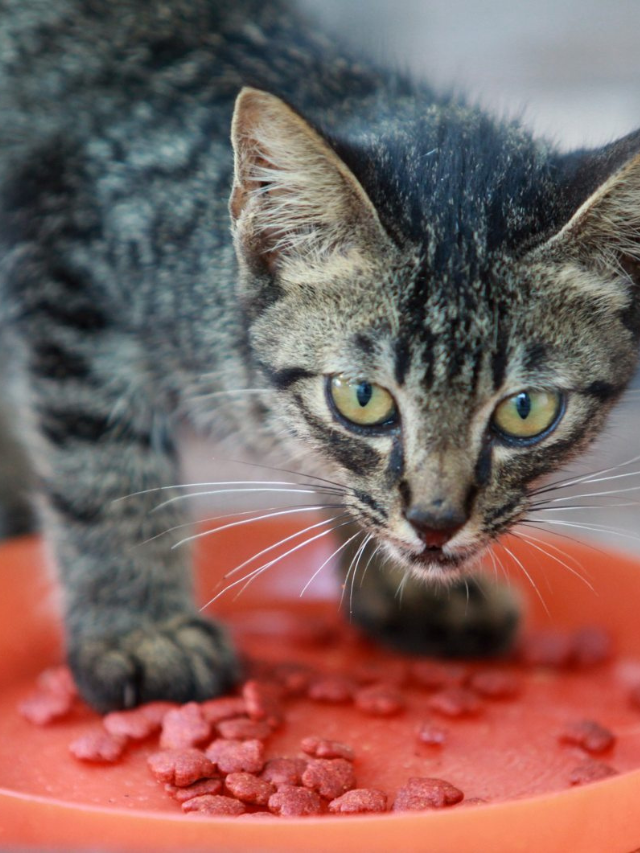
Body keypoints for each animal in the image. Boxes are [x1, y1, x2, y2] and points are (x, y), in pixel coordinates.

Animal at [1, 0, 640, 712]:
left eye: (525, 411)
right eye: (362, 398)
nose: (436, 522)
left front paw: (400, 589)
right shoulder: (71, 283)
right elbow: (106, 474)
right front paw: (142, 630)